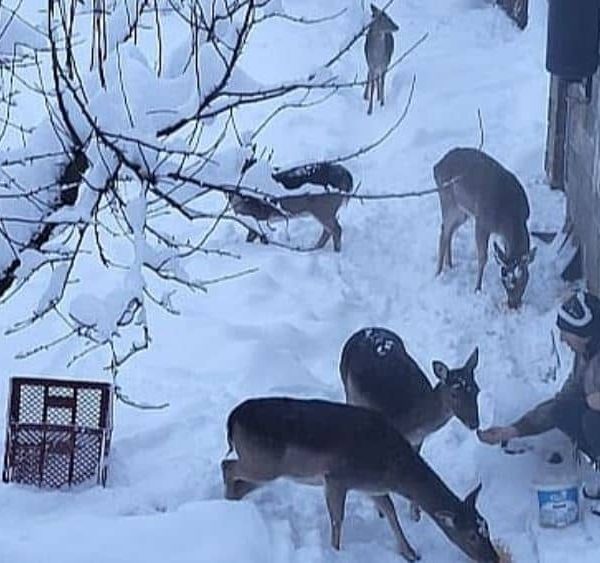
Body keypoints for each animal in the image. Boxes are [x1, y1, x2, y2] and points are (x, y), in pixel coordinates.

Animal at [223, 396, 500, 563]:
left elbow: (389, 510)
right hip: (263, 463)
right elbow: (338, 519)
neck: (393, 469)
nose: (494, 558)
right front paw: (335, 553)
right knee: (227, 466)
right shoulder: (336, 477)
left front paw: (410, 552)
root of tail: (232, 418)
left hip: (268, 468)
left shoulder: (371, 487)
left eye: (486, 526)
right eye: (471, 535)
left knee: (238, 481)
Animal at [340, 328, 480, 524]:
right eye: (454, 393)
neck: (413, 421)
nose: (474, 423)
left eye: (477, 390)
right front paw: (381, 510)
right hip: (348, 388)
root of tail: (363, 330)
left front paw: (415, 514)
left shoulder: (418, 440)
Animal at [434, 148, 536, 310]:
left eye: (523, 279)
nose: (513, 304)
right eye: (504, 280)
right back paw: (438, 273)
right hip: (447, 199)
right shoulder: (482, 222)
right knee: (444, 231)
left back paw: (450, 264)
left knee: (449, 231)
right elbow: (483, 257)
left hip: (462, 211)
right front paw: (477, 289)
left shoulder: (503, 234)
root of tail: (436, 166)